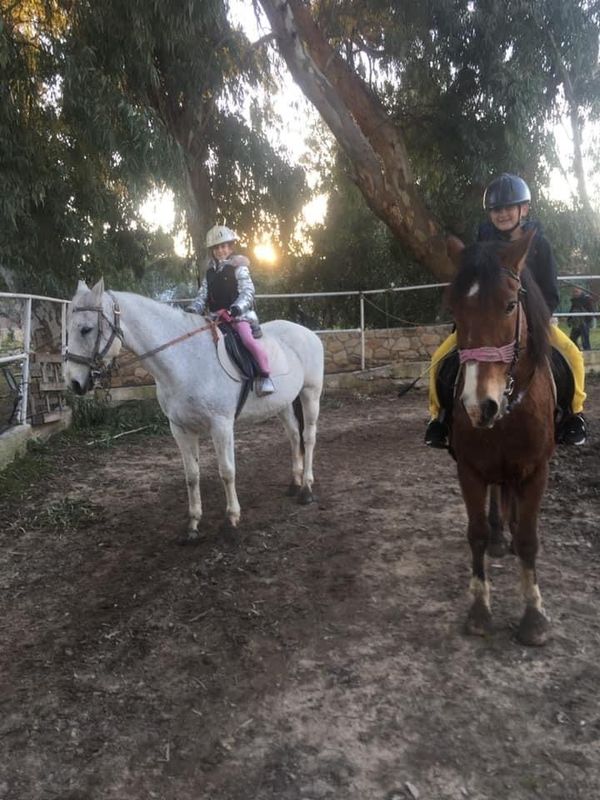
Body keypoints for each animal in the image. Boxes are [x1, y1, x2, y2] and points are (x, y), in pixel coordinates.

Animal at [64, 279, 324, 543]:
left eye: (86, 329)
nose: (73, 382)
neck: (186, 360)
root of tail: (307, 333)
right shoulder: (180, 428)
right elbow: (192, 475)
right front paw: (193, 525)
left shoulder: (221, 425)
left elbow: (227, 471)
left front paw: (231, 521)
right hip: (283, 404)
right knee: (294, 436)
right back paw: (294, 483)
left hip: (310, 394)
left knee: (308, 438)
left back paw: (306, 489)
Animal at [446, 229, 556, 646]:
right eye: (454, 312)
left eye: (511, 305)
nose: (480, 406)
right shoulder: (470, 469)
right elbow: (475, 533)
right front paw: (479, 610)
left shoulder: (536, 471)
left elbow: (528, 539)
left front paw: (534, 617)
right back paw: (498, 535)